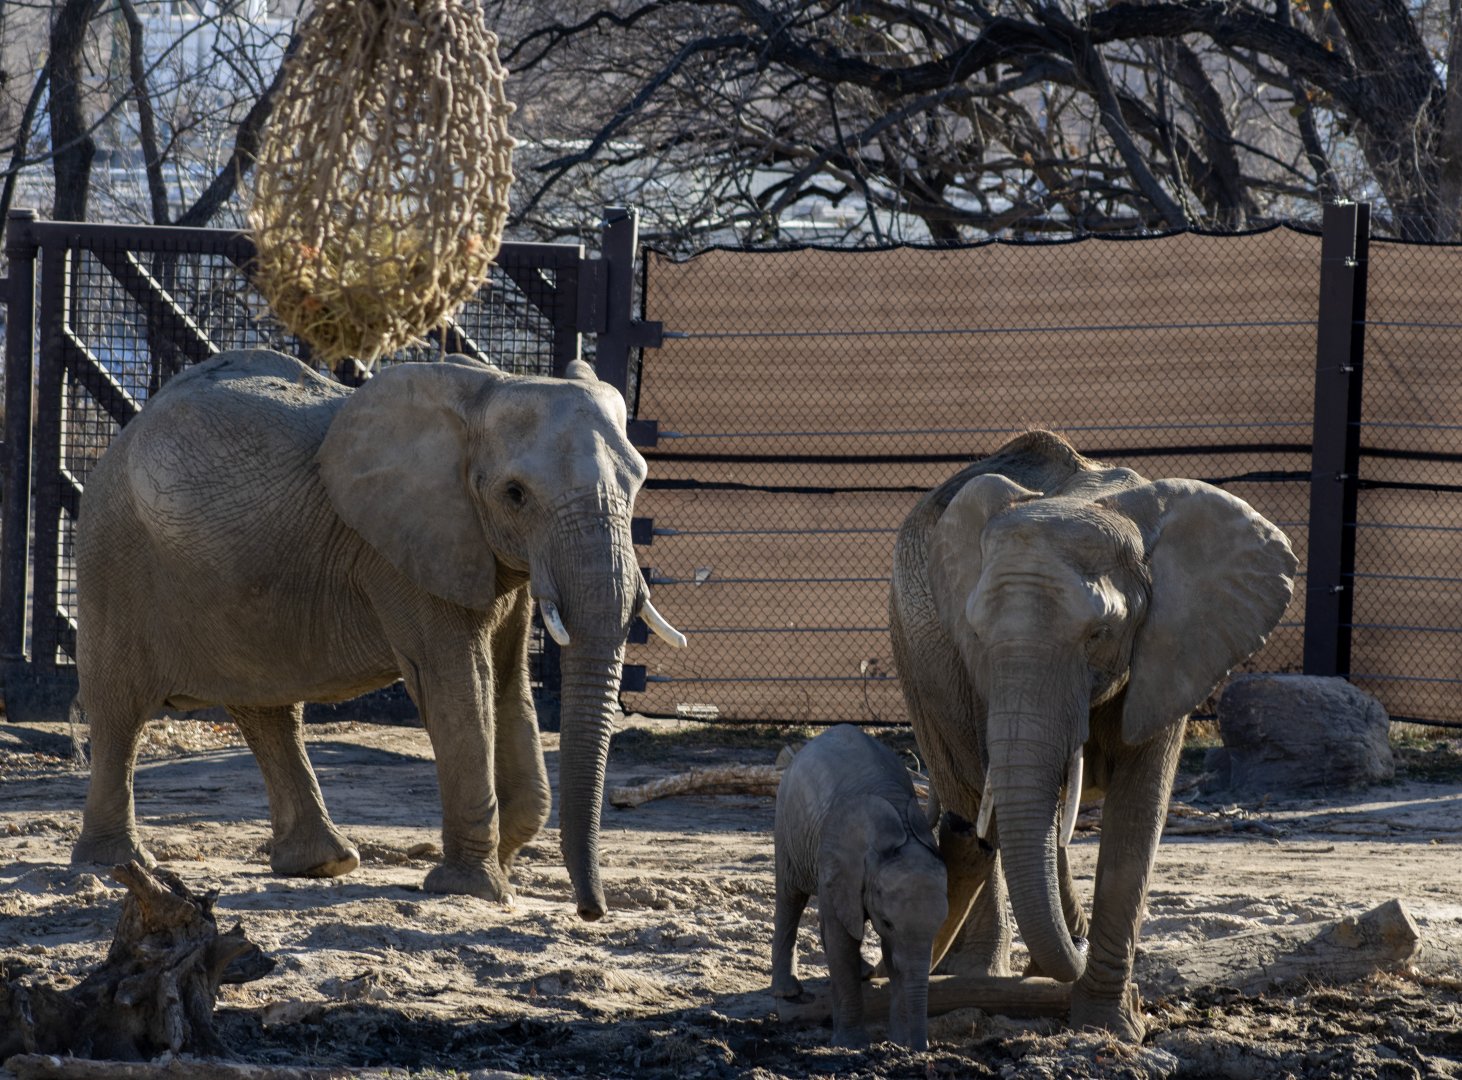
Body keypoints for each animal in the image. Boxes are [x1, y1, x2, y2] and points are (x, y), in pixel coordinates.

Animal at [70, 348, 684, 919]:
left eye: (639, 482)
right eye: (515, 493)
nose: (591, 910)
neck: (485, 390)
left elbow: (510, 680)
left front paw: (502, 864)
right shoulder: (401, 551)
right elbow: (458, 680)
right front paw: (471, 887)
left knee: (266, 707)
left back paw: (324, 863)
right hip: (113, 556)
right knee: (120, 708)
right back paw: (118, 863)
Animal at [772, 724, 948, 1050]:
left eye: (941, 925)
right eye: (887, 922)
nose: (922, 1049)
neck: (902, 832)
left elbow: (894, 956)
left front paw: (898, 1041)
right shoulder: (838, 863)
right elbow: (842, 939)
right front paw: (851, 1045)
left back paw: (865, 972)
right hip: (787, 822)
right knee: (790, 896)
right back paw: (787, 992)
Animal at [889, 429, 1296, 1038]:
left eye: (1100, 633)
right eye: (976, 635)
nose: (1077, 950)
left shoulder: (1175, 645)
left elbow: (1137, 815)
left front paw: (1109, 1026)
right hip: (915, 654)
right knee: (974, 795)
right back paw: (977, 978)